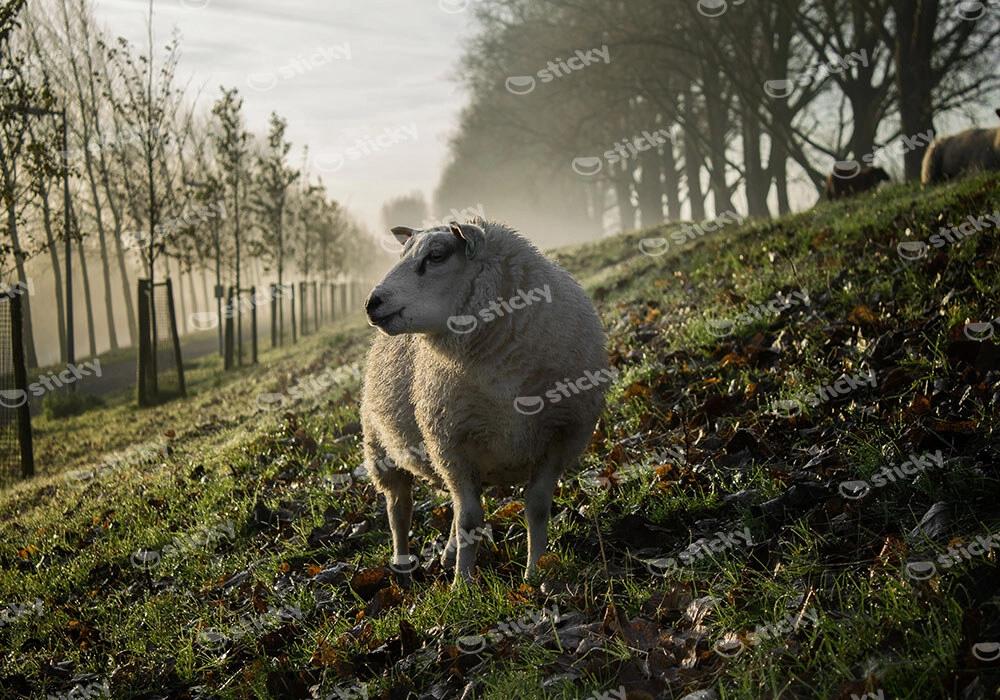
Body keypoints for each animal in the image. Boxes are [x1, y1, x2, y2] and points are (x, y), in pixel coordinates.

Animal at [360, 218, 610, 584]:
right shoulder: (453, 446)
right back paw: (404, 567)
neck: (503, 376)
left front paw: (535, 572)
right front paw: (462, 585)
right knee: (399, 508)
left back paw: (448, 555)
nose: (371, 303)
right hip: (380, 448)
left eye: (436, 256)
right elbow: (469, 520)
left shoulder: (560, 439)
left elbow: (535, 507)